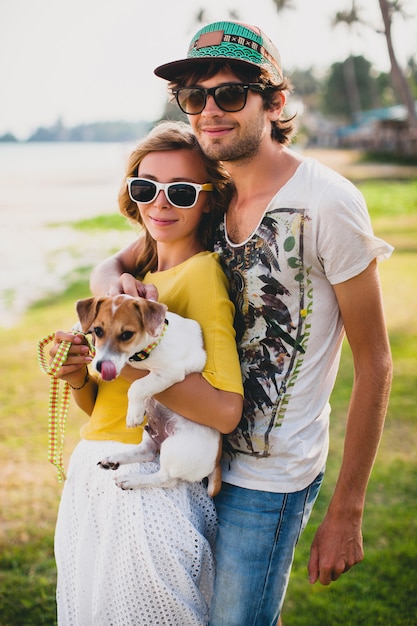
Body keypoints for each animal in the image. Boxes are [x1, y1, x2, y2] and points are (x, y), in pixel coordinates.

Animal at [76, 294, 223, 494]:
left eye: (126, 335)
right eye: (98, 330)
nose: (99, 366)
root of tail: (216, 463)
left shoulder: (169, 373)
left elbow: (137, 386)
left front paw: (133, 414)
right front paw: (80, 325)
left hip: (174, 448)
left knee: (166, 479)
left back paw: (131, 480)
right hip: (150, 436)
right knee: (146, 452)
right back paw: (114, 459)